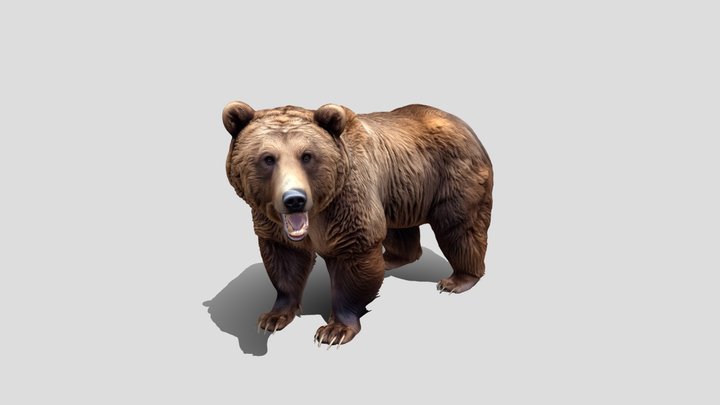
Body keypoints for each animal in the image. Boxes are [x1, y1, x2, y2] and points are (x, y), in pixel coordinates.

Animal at [222, 101, 493, 347]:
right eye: (268, 158)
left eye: (307, 156)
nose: (294, 199)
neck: (318, 211)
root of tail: (463, 125)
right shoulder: (274, 224)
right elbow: (285, 260)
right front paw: (272, 317)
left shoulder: (348, 204)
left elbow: (353, 258)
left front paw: (334, 331)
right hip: (399, 191)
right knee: (398, 229)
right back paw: (391, 259)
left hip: (452, 176)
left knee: (459, 227)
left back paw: (457, 280)